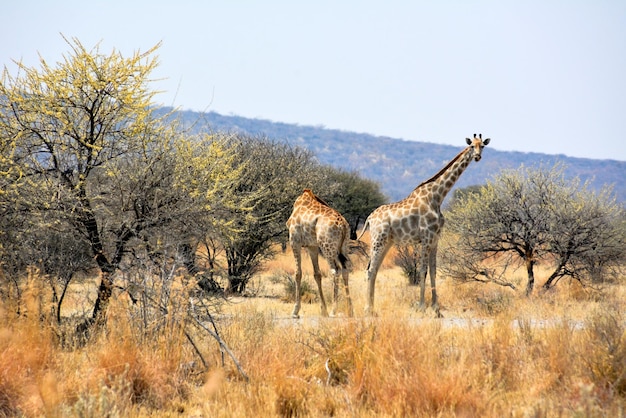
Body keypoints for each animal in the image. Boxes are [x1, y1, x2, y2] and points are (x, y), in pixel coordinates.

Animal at [356, 136, 488, 316]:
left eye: (482, 146)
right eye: (471, 146)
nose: (477, 156)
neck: (437, 197)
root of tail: (369, 218)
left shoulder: (435, 239)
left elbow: (433, 271)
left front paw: (436, 309)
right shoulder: (426, 237)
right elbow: (423, 271)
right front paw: (421, 306)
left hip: (387, 242)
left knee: (374, 269)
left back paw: (373, 308)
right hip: (378, 240)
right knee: (369, 270)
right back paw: (368, 309)